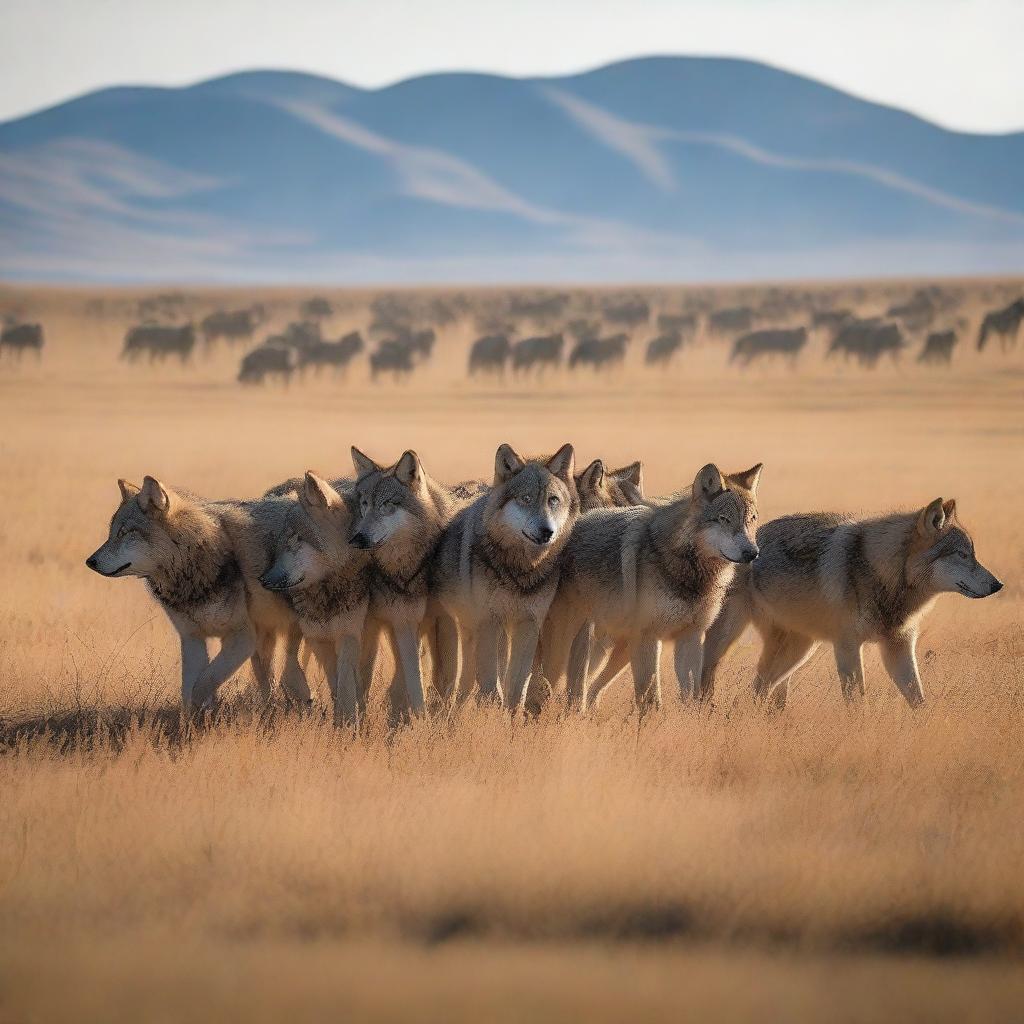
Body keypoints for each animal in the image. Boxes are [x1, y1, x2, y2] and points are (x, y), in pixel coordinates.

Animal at [84, 479, 307, 712]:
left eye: (125, 533)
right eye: (111, 534)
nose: (90, 561)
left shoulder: (242, 638)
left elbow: (203, 683)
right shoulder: (192, 638)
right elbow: (189, 688)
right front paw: (193, 718)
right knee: (269, 679)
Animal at [258, 473, 370, 729]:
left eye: (297, 540)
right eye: (279, 544)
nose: (263, 579)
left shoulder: (349, 634)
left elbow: (346, 684)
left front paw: (348, 724)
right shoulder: (319, 637)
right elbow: (335, 683)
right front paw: (342, 724)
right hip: (297, 626)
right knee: (289, 661)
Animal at [430, 440, 581, 712]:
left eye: (553, 500)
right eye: (526, 499)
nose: (547, 531)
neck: (519, 572)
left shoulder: (528, 624)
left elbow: (516, 688)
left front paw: (509, 719)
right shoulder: (490, 621)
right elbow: (492, 686)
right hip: (465, 629)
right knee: (463, 681)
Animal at [700, 497, 1003, 708]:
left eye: (972, 554)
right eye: (963, 555)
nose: (998, 585)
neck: (883, 572)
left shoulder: (898, 647)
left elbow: (919, 700)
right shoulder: (847, 646)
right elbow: (858, 704)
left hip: (798, 650)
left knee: (760, 689)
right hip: (730, 640)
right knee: (716, 675)